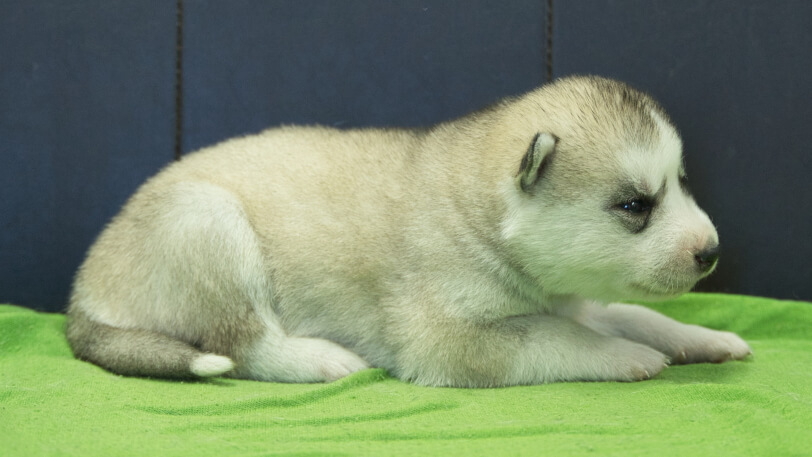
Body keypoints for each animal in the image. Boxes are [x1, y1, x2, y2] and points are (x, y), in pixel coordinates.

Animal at [66, 76, 752, 386]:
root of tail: (82, 295)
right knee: (244, 343)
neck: (478, 213)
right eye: (635, 205)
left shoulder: (575, 299)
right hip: (209, 223)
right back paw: (322, 359)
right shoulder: (449, 339)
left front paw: (704, 337)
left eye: (682, 183)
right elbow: (555, 337)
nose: (712, 251)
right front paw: (625, 356)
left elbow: (634, 315)